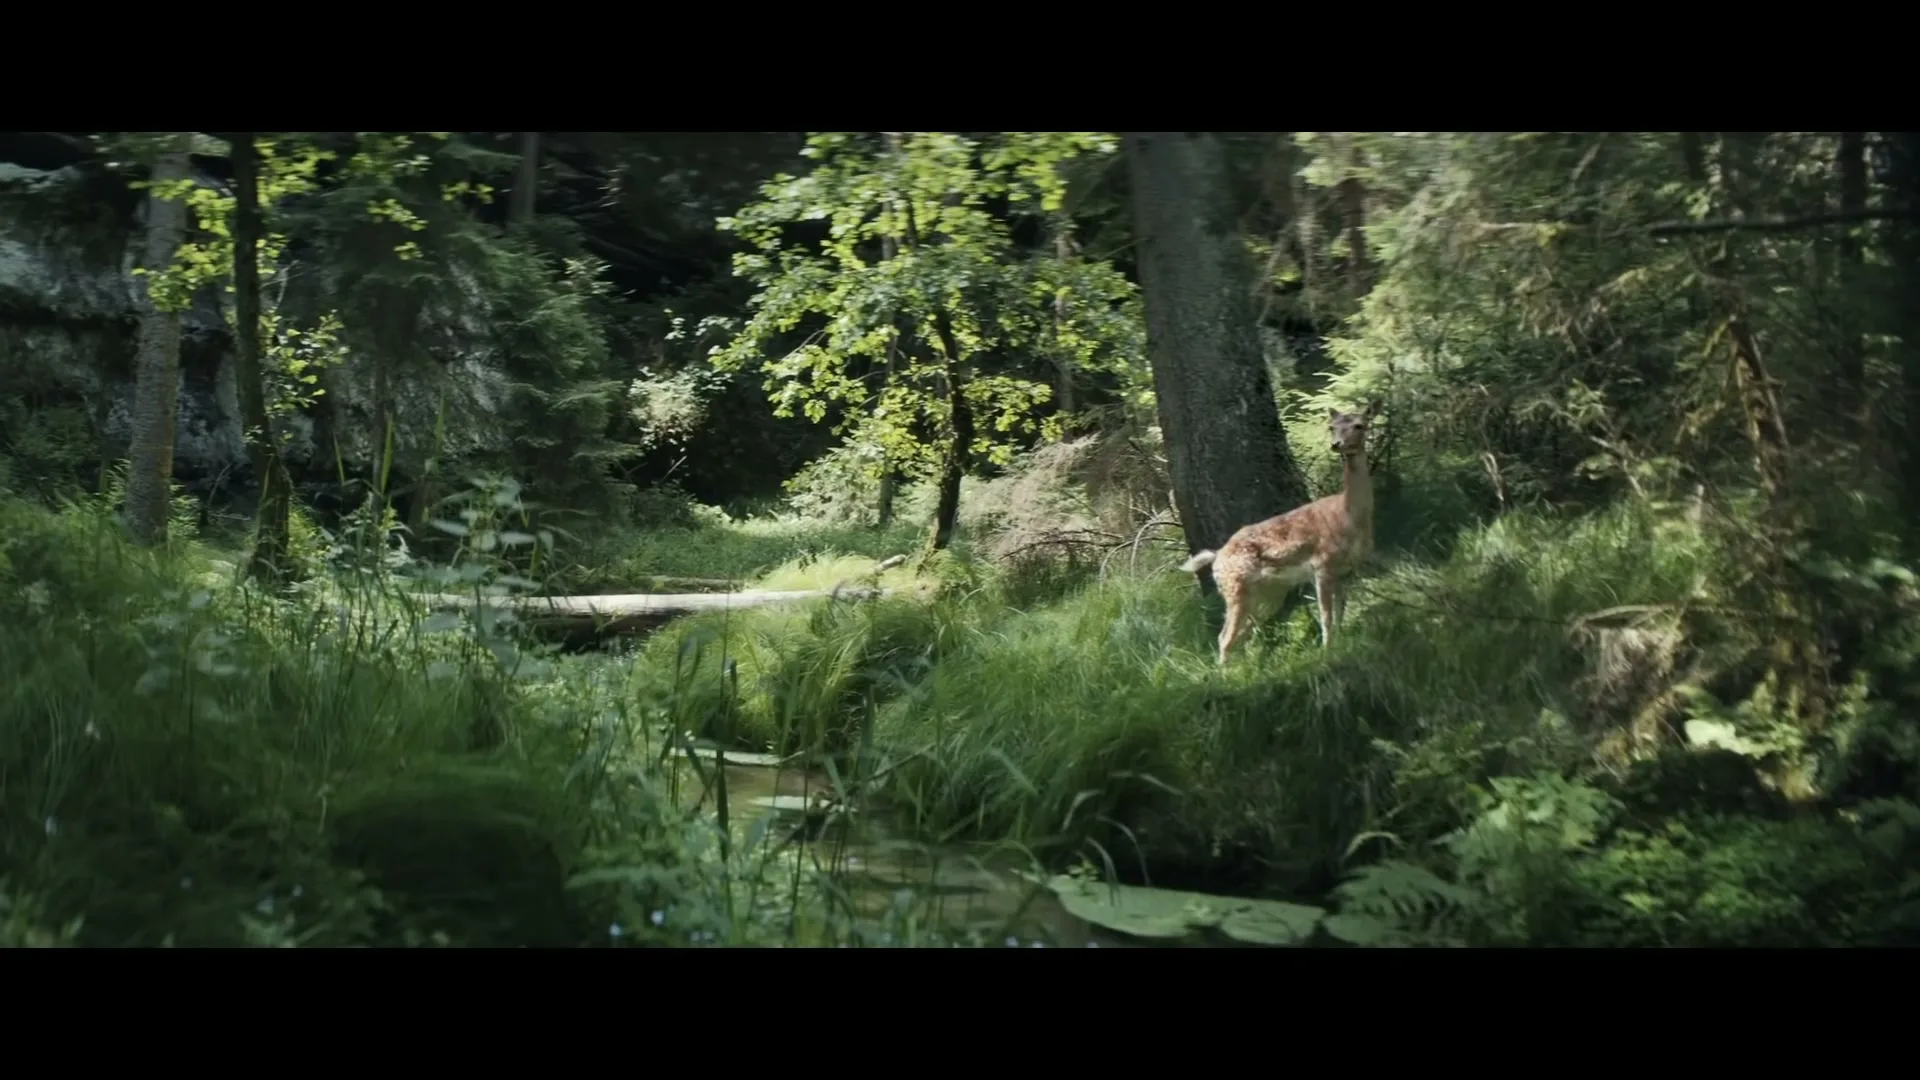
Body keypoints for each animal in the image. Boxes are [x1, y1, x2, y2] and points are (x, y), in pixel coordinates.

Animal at [1179, 402, 1379, 665]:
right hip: (1236, 588)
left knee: (1243, 632)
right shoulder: (1322, 565)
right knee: (1225, 637)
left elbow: (1340, 613)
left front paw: (1342, 644)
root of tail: (1217, 556)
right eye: (1332, 427)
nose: (1337, 444)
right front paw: (1327, 652)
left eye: (1359, 425)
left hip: (1268, 592)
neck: (1348, 516)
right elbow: (1326, 616)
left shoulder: (1347, 570)